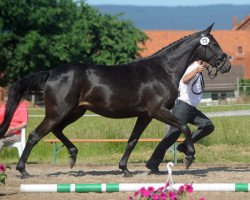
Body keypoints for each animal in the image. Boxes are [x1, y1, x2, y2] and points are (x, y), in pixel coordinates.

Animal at [0, 23, 230, 178]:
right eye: (214, 43)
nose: (226, 64)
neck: (163, 70)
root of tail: (51, 73)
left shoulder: (145, 115)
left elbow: (132, 140)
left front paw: (125, 169)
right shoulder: (158, 111)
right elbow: (184, 127)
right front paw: (189, 157)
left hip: (75, 112)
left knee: (56, 131)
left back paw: (73, 157)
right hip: (58, 112)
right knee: (34, 135)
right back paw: (23, 171)